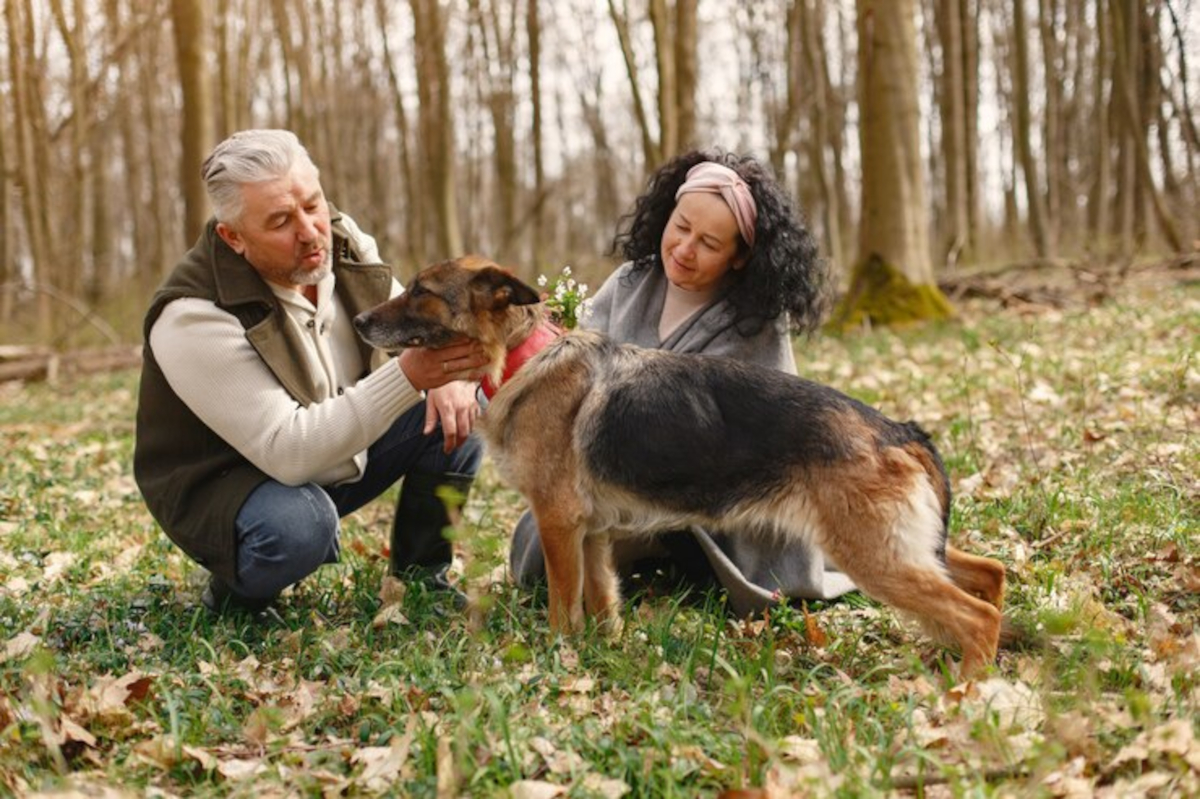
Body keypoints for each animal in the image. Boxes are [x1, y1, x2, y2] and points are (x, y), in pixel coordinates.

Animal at [352, 253, 1003, 671]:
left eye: (421, 291)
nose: (357, 320)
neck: (523, 357)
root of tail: (899, 430)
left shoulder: (559, 525)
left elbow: (564, 608)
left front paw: (558, 661)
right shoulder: (592, 534)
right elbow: (603, 604)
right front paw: (602, 656)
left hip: (875, 556)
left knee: (975, 616)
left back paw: (968, 695)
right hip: (908, 548)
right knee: (991, 575)